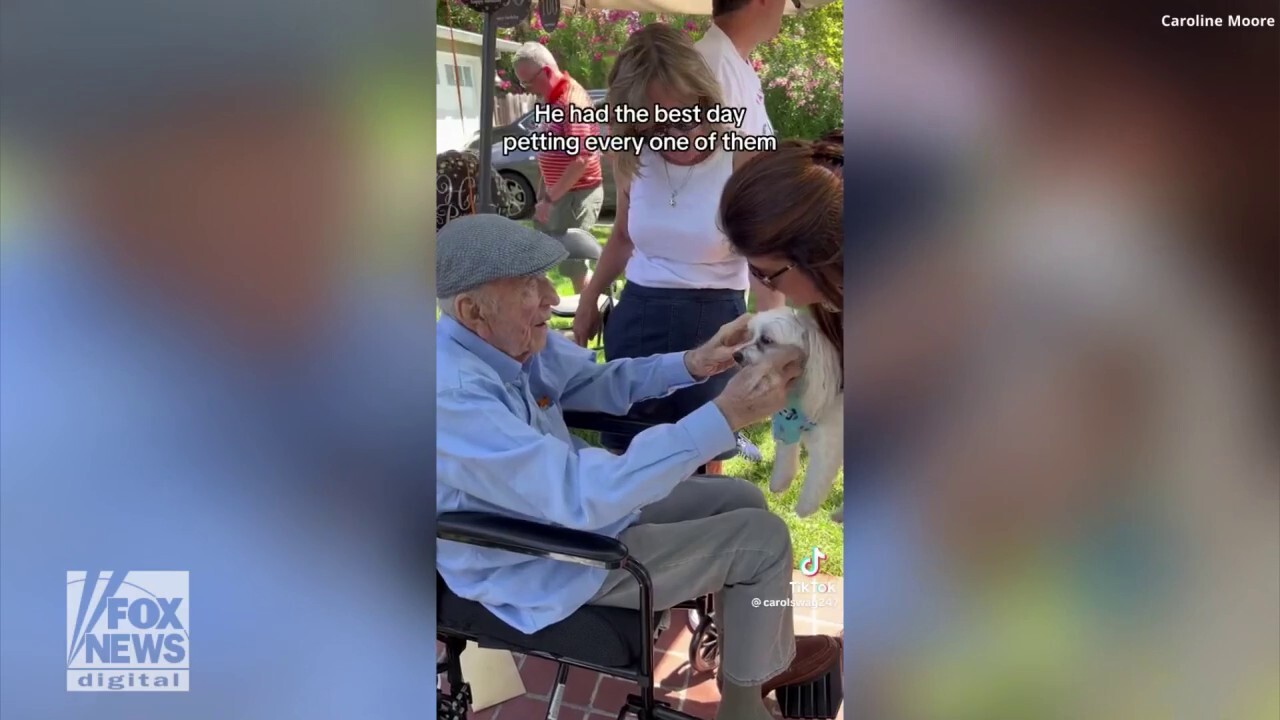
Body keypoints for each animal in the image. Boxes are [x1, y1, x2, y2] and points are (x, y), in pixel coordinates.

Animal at [737, 304, 844, 517]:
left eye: (767, 340)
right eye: (750, 334)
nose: (736, 355)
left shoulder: (828, 445)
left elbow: (816, 478)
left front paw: (804, 508)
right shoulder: (786, 427)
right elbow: (785, 456)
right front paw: (779, 483)